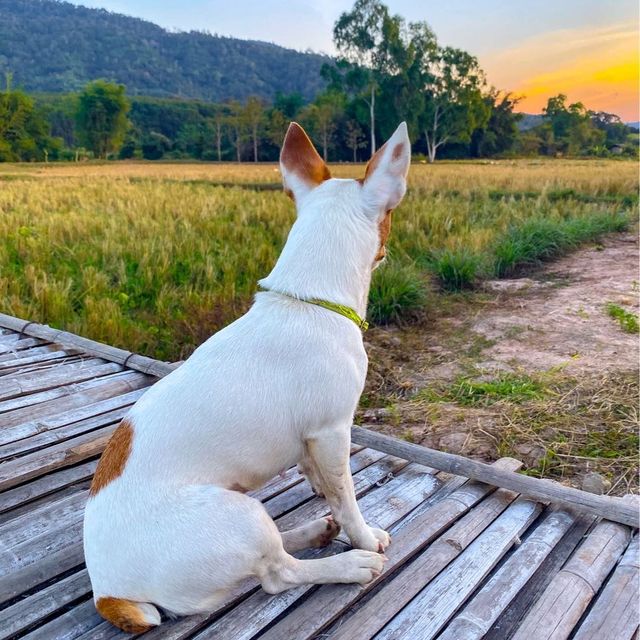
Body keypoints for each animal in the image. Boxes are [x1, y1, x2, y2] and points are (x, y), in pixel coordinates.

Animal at [84, 121, 410, 636]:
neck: (307, 299)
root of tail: (109, 594)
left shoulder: (312, 441)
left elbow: (322, 482)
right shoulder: (333, 432)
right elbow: (346, 495)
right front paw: (364, 537)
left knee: (276, 550)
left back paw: (313, 531)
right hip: (239, 517)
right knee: (278, 574)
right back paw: (347, 564)